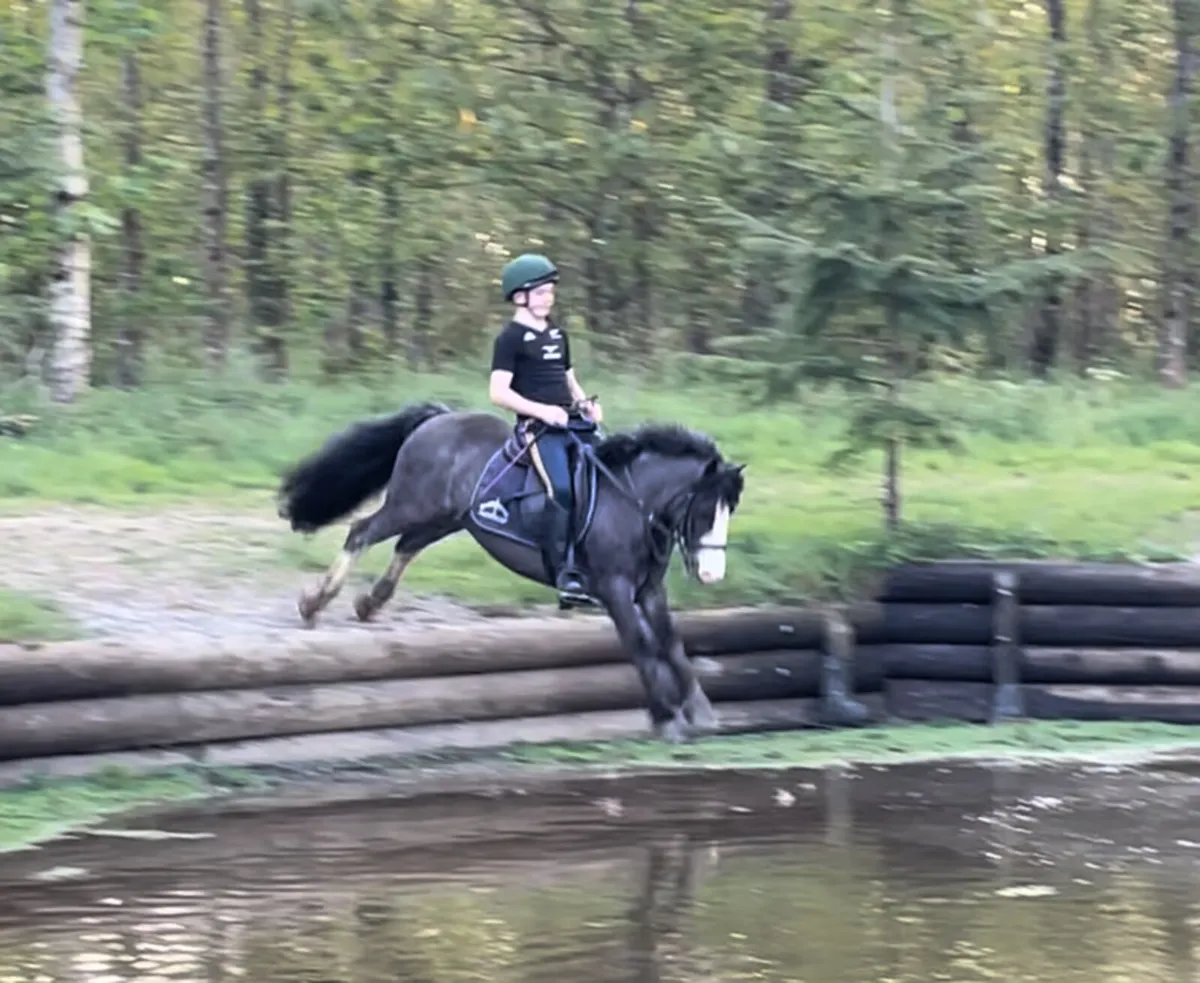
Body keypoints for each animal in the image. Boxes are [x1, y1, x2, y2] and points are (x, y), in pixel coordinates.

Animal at [275, 400, 747, 743]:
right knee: (361, 532)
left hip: (447, 517)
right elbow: (642, 647)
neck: (631, 501)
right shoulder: (614, 588)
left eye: (729, 511)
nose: (712, 576)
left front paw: (701, 712)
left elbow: (672, 644)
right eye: (704, 511)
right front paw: (666, 717)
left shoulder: (649, 590)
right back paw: (316, 602)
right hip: (411, 504)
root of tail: (438, 418)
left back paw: (370, 603)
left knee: (406, 546)